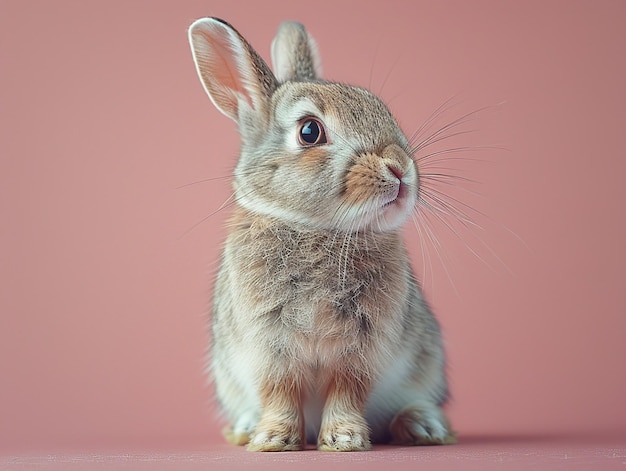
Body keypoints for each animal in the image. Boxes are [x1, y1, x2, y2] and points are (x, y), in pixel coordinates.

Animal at [185, 17, 454, 454]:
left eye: (380, 107)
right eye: (310, 131)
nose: (400, 168)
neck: (316, 229)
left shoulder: (361, 348)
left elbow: (347, 389)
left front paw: (344, 439)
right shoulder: (269, 345)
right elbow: (279, 390)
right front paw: (274, 439)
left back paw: (422, 427)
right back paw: (245, 428)